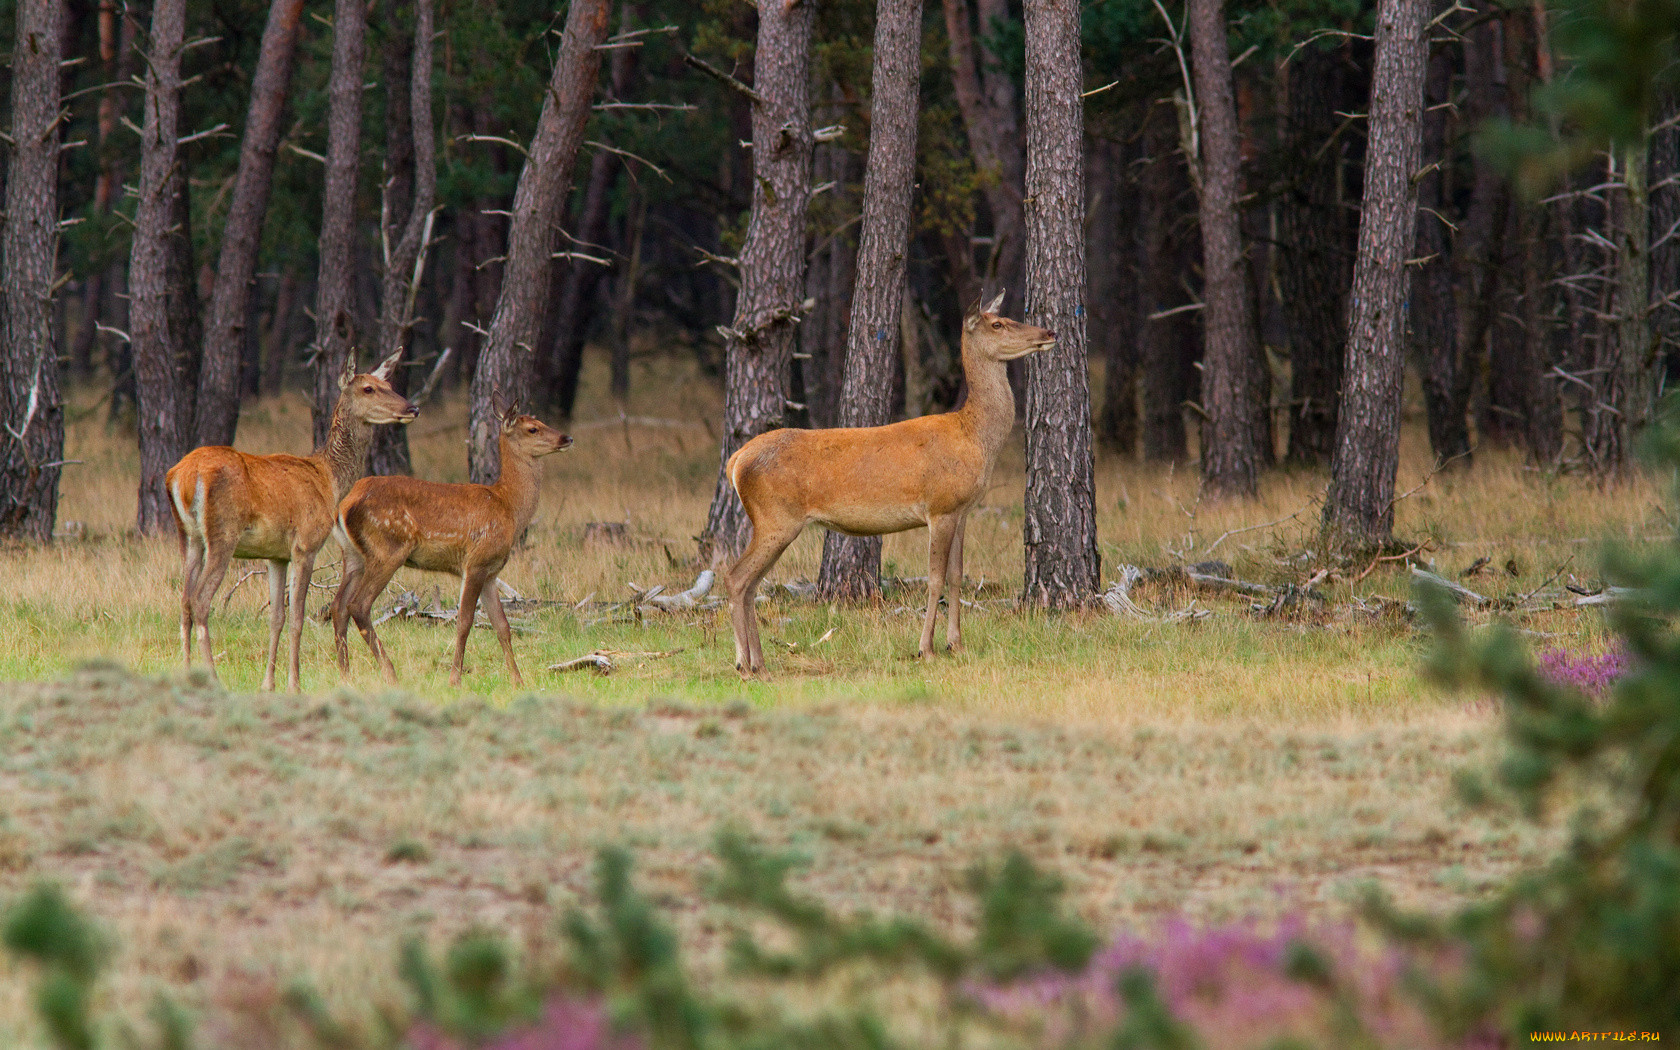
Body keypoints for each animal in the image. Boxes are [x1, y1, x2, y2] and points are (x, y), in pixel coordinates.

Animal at [164, 352, 416, 692]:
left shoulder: (276, 555)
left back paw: (188, 673)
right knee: (201, 601)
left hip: (188, 535)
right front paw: (294, 684)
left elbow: (276, 618)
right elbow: (297, 618)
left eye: (388, 384)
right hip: (222, 534)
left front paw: (268, 684)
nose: (412, 408)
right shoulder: (306, 544)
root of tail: (182, 476)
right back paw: (213, 678)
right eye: (368, 388)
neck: (329, 481)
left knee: (184, 601)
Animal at [330, 396, 574, 685]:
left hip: (353, 555)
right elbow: (464, 622)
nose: (567, 438)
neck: (508, 506)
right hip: (388, 548)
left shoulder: (491, 572)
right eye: (533, 428)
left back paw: (345, 674)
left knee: (338, 606)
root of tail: (343, 506)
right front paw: (455, 678)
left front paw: (518, 680)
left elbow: (502, 626)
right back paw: (389, 673)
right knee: (358, 605)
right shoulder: (476, 561)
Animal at [729, 290, 1055, 675]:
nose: (1049, 331)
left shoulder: (962, 511)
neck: (974, 438)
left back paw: (758, 663)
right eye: (998, 323)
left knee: (751, 583)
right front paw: (926, 649)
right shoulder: (940, 507)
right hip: (776, 518)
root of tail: (737, 460)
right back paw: (744, 664)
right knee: (737, 577)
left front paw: (956, 645)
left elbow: (957, 575)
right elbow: (934, 579)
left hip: (772, 521)